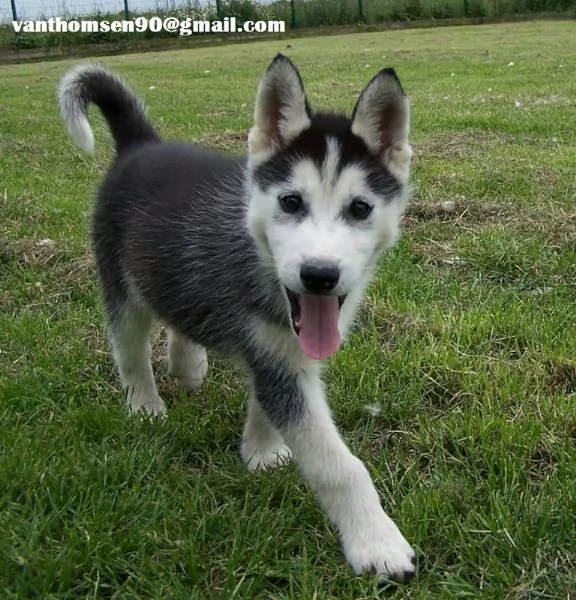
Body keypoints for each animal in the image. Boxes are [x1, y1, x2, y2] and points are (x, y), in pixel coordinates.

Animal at [58, 55, 416, 580]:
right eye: (290, 202)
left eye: (360, 208)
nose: (319, 275)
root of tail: (142, 144)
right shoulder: (277, 359)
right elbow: (337, 464)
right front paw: (377, 543)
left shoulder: (282, 352)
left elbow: (266, 401)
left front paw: (260, 452)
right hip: (121, 284)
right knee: (129, 350)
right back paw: (145, 405)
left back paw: (187, 365)